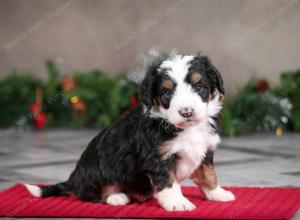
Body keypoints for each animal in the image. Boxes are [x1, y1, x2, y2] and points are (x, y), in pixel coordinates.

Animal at [24, 53, 234, 211]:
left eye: (199, 87)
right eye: (167, 92)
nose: (187, 112)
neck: (185, 128)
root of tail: (73, 178)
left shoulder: (205, 150)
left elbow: (208, 174)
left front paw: (218, 193)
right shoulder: (157, 157)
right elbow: (168, 181)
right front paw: (178, 203)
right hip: (99, 171)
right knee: (89, 194)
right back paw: (116, 197)